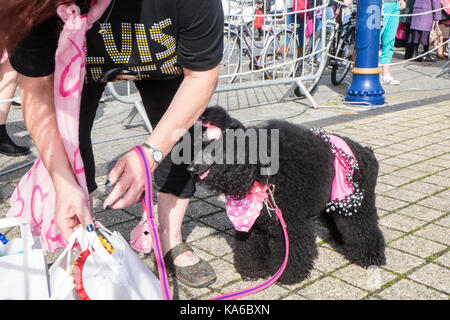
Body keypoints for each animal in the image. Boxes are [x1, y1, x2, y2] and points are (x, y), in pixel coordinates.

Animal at [186, 106, 386, 284]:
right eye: (196, 145)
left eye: (212, 147)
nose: (190, 168)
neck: (259, 172)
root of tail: (366, 151)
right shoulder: (254, 224)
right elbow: (250, 248)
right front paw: (254, 272)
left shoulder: (290, 223)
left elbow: (291, 252)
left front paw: (289, 276)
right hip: (333, 201)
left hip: (359, 203)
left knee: (363, 227)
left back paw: (370, 257)